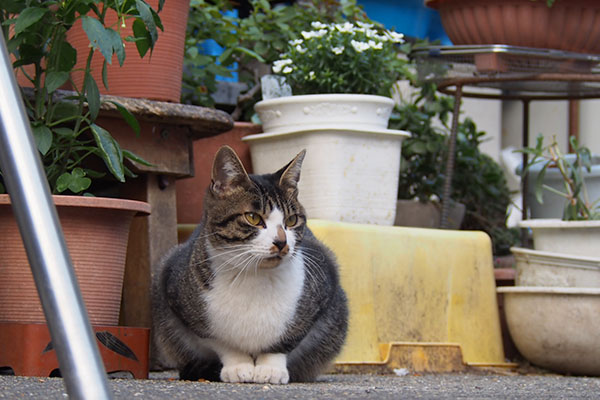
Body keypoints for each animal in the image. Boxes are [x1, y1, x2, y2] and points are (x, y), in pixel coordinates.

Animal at [150, 145, 346, 382]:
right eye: (253, 217)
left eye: (291, 220)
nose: (281, 242)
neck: (254, 276)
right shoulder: (178, 293)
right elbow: (221, 342)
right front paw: (237, 365)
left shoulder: (322, 286)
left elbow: (286, 339)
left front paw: (270, 368)